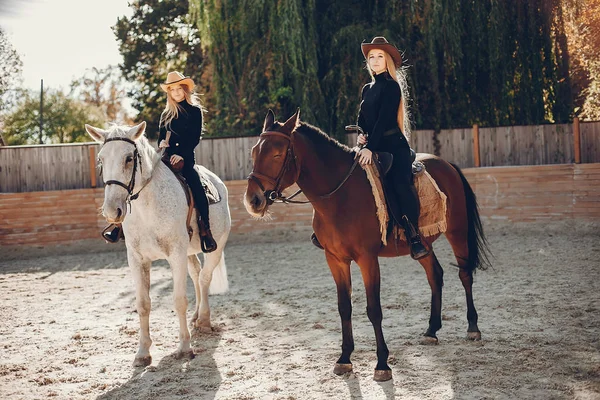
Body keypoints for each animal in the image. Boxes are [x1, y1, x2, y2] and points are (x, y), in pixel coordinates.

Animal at [85, 121, 231, 366]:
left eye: (129, 158)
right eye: (101, 159)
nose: (111, 211)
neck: (148, 207)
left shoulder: (176, 255)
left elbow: (179, 300)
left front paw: (184, 348)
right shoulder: (137, 260)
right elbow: (143, 304)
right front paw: (143, 352)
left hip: (215, 248)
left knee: (204, 278)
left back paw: (203, 320)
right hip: (189, 253)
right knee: (196, 274)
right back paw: (195, 316)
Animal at [244, 108, 492, 382]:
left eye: (277, 154)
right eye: (254, 152)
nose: (253, 200)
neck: (340, 195)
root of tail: (448, 165)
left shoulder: (367, 259)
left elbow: (374, 309)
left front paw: (382, 364)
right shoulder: (335, 260)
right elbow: (344, 307)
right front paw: (344, 359)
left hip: (458, 232)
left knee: (465, 273)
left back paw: (473, 327)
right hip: (424, 243)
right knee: (435, 275)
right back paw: (431, 330)